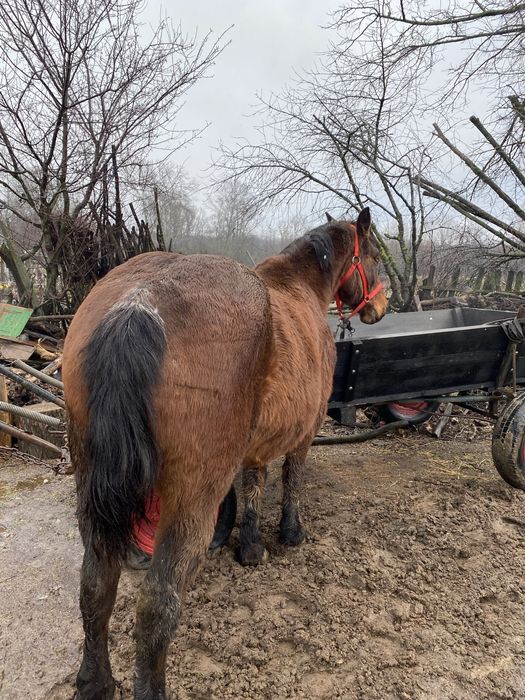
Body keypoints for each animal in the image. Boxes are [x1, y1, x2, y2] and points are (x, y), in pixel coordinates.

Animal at [62, 206, 387, 700]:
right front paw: (290, 532)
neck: (298, 286)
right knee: (157, 604)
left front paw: (250, 544)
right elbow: (291, 478)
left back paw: (95, 682)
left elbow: (254, 482)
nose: (379, 307)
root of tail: (139, 303)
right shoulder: (305, 432)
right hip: (191, 497)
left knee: (96, 585)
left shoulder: (255, 445)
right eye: (372, 255)